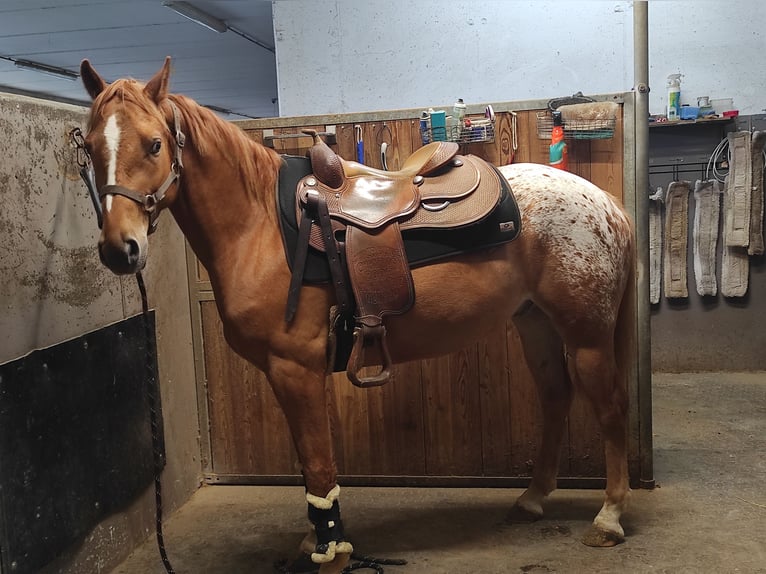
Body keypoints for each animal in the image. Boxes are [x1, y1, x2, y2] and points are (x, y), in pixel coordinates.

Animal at [81, 57, 640, 572]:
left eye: (155, 144)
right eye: (88, 147)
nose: (120, 249)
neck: (262, 227)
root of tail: (606, 203)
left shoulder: (296, 369)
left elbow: (318, 463)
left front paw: (332, 553)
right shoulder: (289, 375)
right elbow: (310, 464)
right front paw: (318, 540)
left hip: (587, 336)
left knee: (611, 407)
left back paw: (609, 517)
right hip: (535, 323)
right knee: (556, 398)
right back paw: (532, 499)